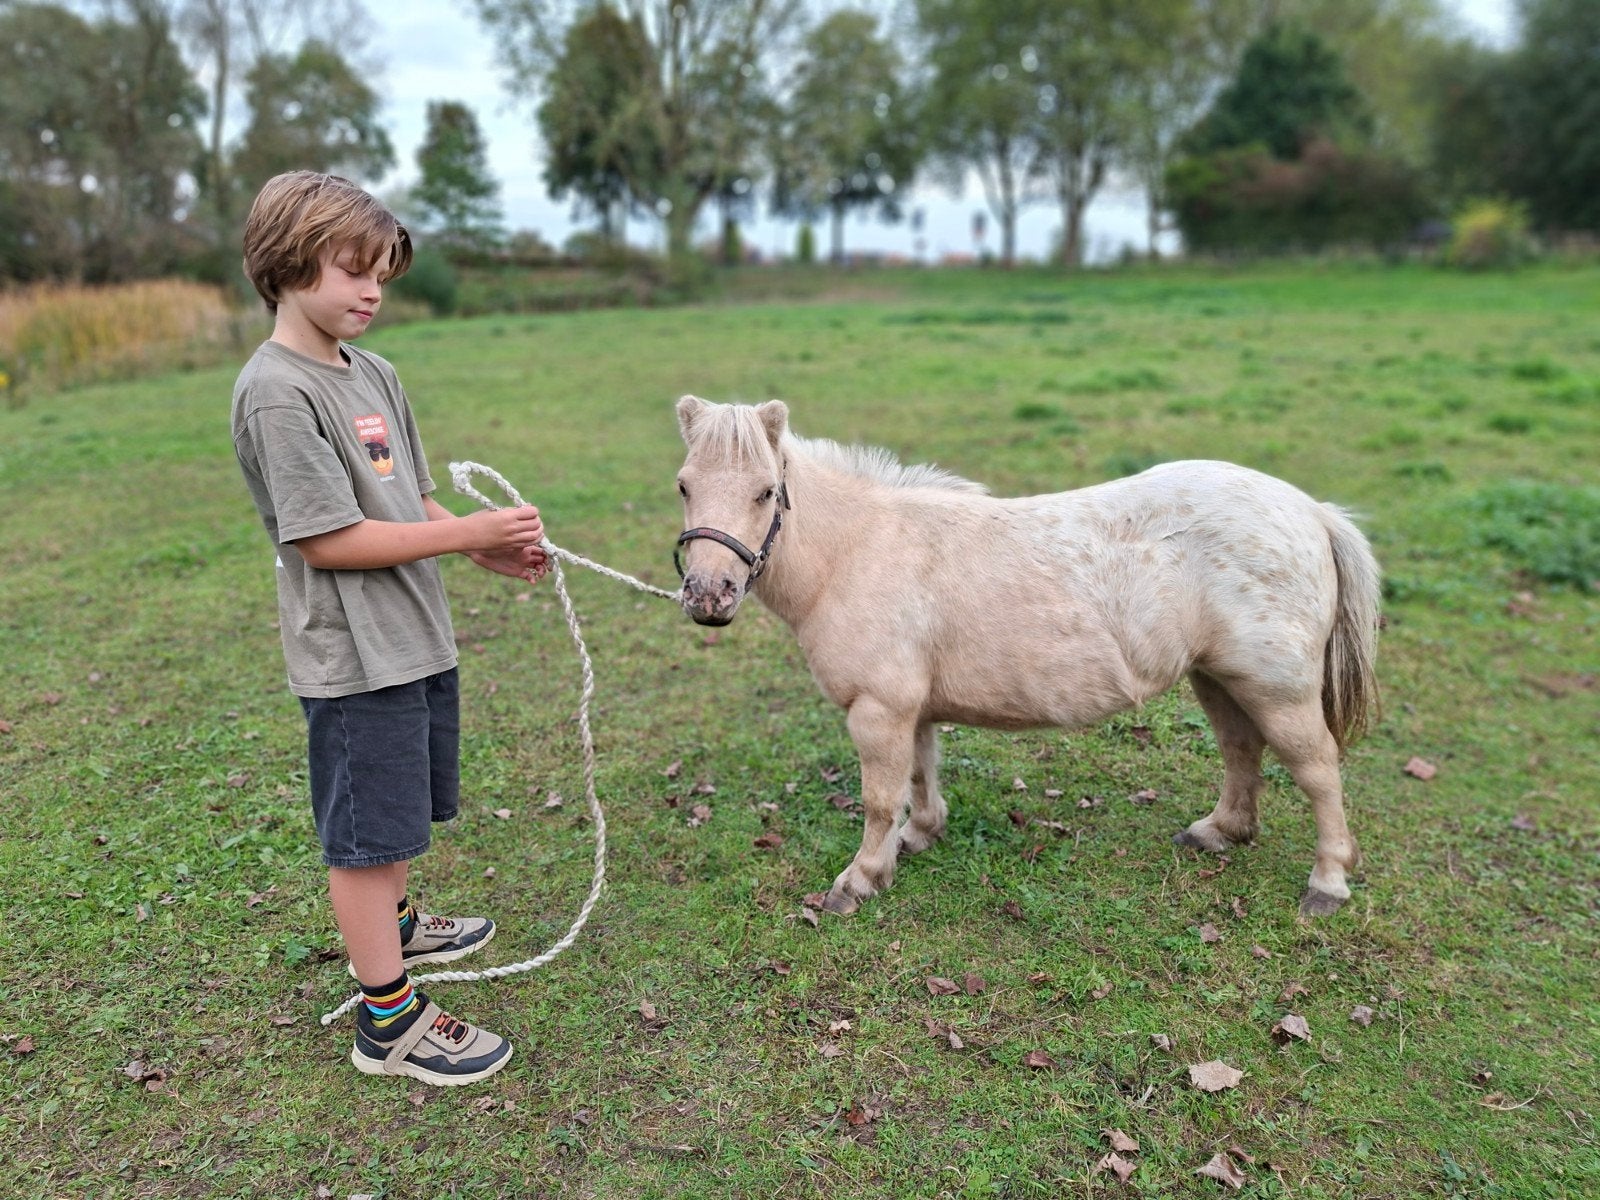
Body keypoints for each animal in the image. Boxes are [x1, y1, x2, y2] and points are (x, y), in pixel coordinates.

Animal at [672, 395, 1381, 917]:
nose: (708, 595)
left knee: (1318, 771)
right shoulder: (911, 708)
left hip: (1277, 690)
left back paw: (1327, 882)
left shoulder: (879, 709)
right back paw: (1219, 831)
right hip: (1219, 677)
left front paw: (861, 878)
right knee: (1241, 748)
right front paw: (920, 836)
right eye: (684, 486)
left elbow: (878, 799)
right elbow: (920, 776)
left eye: (766, 491)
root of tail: (1312, 512)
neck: (855, 550)